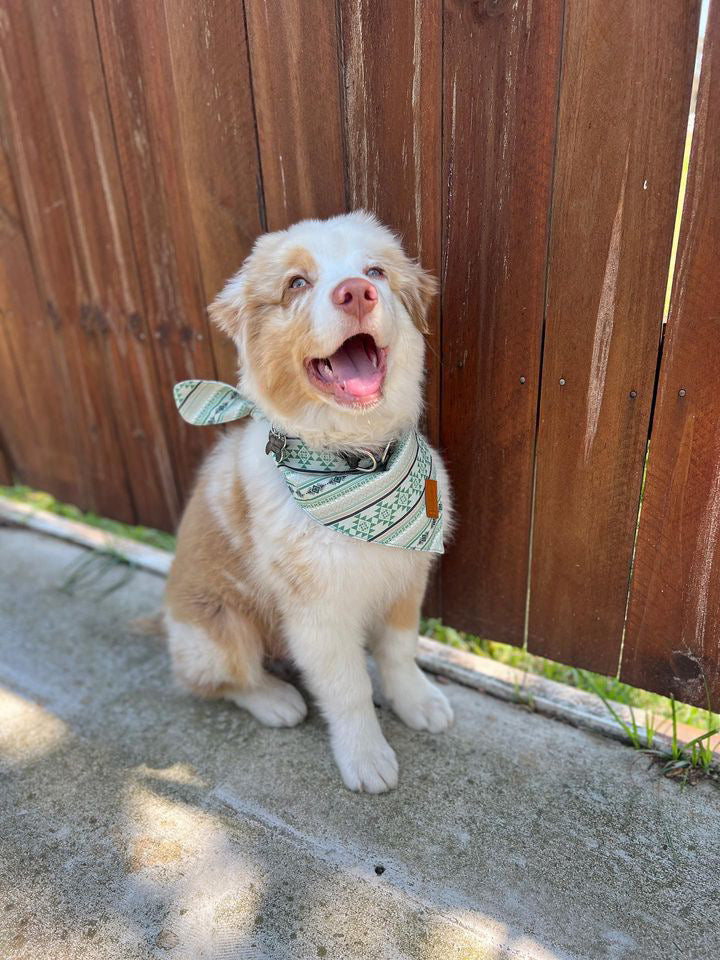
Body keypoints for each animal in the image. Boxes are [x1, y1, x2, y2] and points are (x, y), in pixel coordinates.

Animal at [166, 214, 452, 792]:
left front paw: (416, 702)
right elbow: (348, 690)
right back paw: (275, 700)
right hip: (216, 631)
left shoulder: (405, 580)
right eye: (296, 282)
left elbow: (399, 652)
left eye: (376, 271)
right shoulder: (317, 614)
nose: (357, 291)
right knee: (221, 679)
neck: (356, 459)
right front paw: (365, 756)